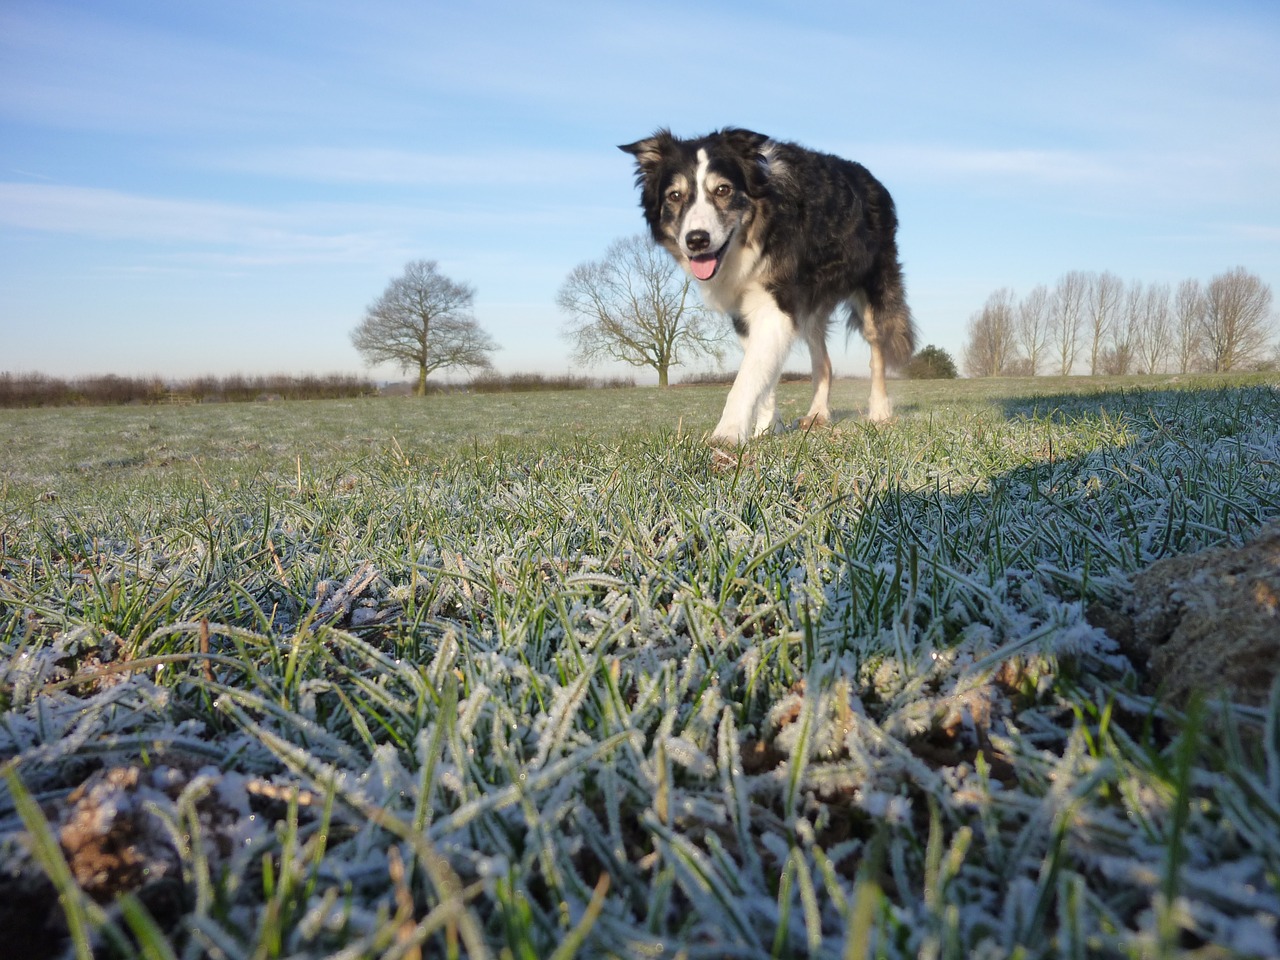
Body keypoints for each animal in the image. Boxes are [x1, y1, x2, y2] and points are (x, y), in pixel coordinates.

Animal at [622, 126, 916, 445]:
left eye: (723, 190)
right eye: (675, 196)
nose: (696, 240)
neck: (753, 232)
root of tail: (871, 178)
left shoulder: (776, 303)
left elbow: (748, 375)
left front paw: (727, 435)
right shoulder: (743, 311)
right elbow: (765, 372)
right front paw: (767, 427)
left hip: (873, 287)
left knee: (877, 351)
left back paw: (879, 411)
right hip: (810, 308)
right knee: (823, 362)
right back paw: (817, 414)